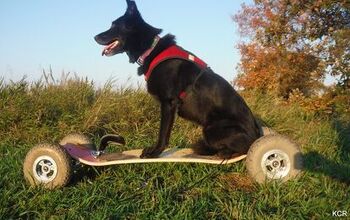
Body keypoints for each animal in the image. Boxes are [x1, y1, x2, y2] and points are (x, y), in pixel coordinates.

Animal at [94, 0, 262, 158]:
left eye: (114, 25)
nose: (94, 36)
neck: (151, 49)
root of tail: (256, 135)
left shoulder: (168, 102)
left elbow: (163, 133)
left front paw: (155, 152)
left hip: (211, 130)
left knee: (241, 148)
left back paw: (220, 152)